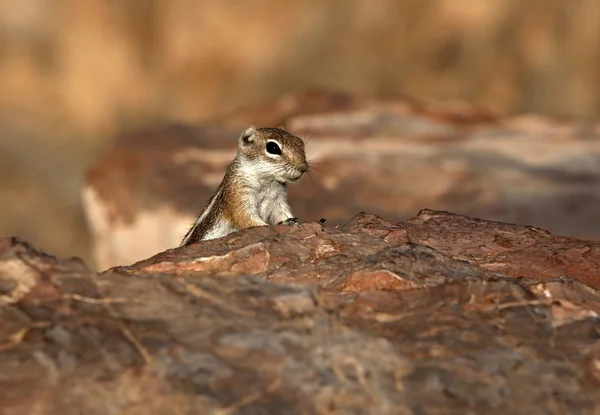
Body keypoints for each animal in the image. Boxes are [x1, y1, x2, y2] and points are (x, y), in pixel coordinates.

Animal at [179, 125, 310, 245]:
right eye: (273, 148)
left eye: (300, 142)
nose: (304, 168)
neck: (268, 183)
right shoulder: (238, 193)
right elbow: (246, 219)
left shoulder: (277, 201)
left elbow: (282, 213)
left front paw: (291, 222)